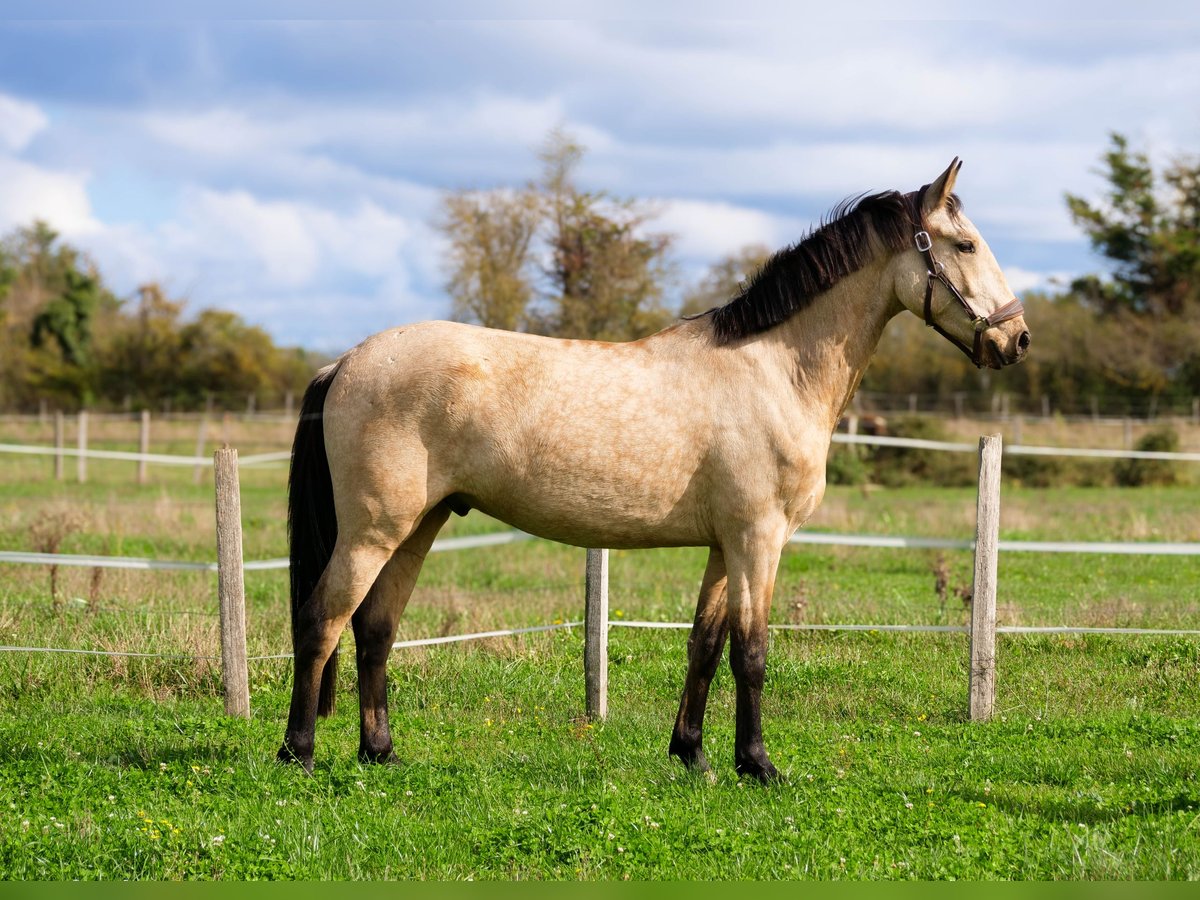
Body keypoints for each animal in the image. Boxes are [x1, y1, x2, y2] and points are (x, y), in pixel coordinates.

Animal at [278, 158, 1032, 777]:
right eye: (965, 244)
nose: (1017, 338)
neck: (774, 368)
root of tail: (344, 362)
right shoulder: (758, 539)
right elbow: (751, 652)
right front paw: (758, 764)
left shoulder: (726, 546)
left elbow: (705, 644)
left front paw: (692, 754)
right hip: (373, 531)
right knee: (322, 620)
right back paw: (299, 753)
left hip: (419, 525)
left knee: (375, 629)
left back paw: (381, 753)